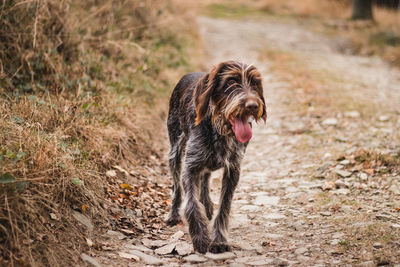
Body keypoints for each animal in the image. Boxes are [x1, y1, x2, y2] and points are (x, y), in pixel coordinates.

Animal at [164, 61, 268, 255]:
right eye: (231, 82)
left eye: (255, 83)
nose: (252, 105)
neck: (219, 128)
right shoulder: (190, 166)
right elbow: (191, 203)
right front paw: (200, 237)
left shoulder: (233, 169)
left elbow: (224, 206)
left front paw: (219, 240)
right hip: (175, 149)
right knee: (177, 187)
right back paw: (174, 214)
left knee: (205, 177)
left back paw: (207, 204)